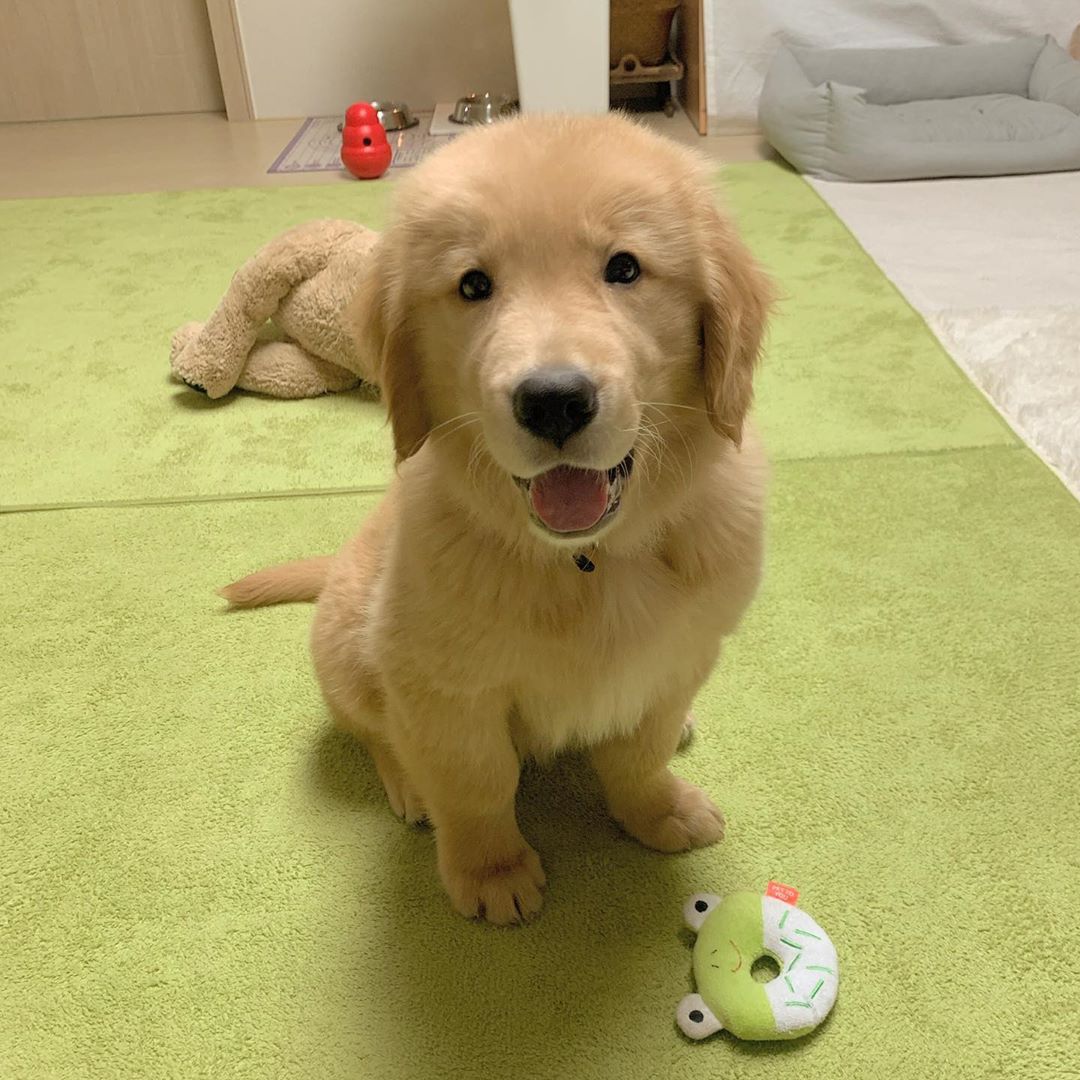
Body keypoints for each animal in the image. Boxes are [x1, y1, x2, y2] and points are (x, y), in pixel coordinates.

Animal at [223, 113, 772, 925]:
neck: (590, 559)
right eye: (473, 285)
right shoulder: (444, 686)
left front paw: (658, 809)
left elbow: (638, 751)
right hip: (349, 645)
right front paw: (490, 868)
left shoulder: (679, 656)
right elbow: (476, 779)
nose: (553, 401)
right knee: (375, 730)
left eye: (625, 269)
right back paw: (409, 785)